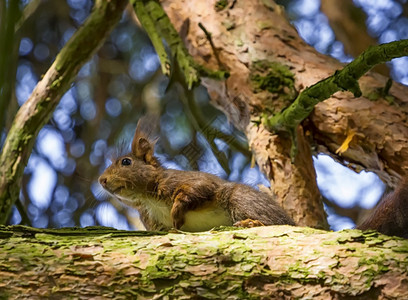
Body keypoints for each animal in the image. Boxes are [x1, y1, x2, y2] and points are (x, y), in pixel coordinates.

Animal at [99, 117, 408, 237]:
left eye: (126, 162)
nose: (101, 181)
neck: (146, 199)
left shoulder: (182, 182)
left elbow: (196, 190)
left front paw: (177, 210)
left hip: (239, 198)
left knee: (273, 223)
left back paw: (252, 222)